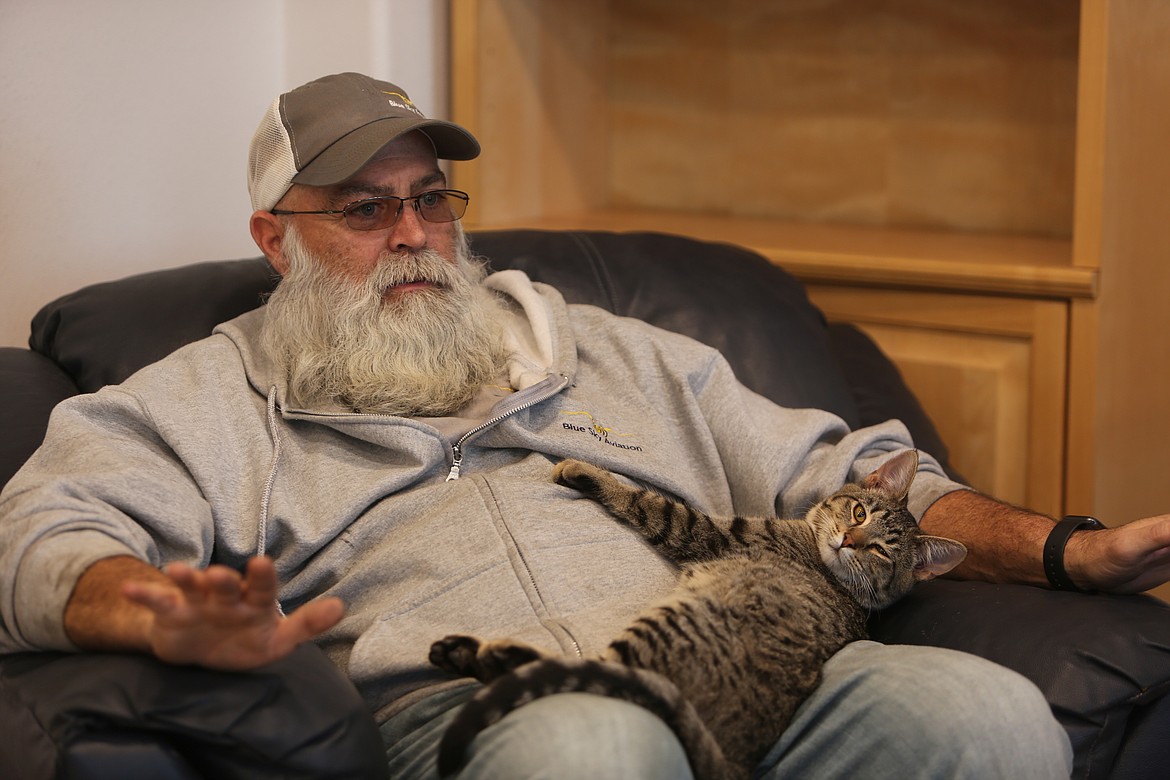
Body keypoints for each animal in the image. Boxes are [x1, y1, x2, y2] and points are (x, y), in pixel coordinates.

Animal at [430, 449, 968, 776]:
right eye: (859, 513)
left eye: (880, 552)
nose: (849, 541)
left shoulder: (711, 530)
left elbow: (650, 502)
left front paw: (584, 472)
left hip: (665, 632)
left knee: (583, 674)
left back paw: (478, 653)